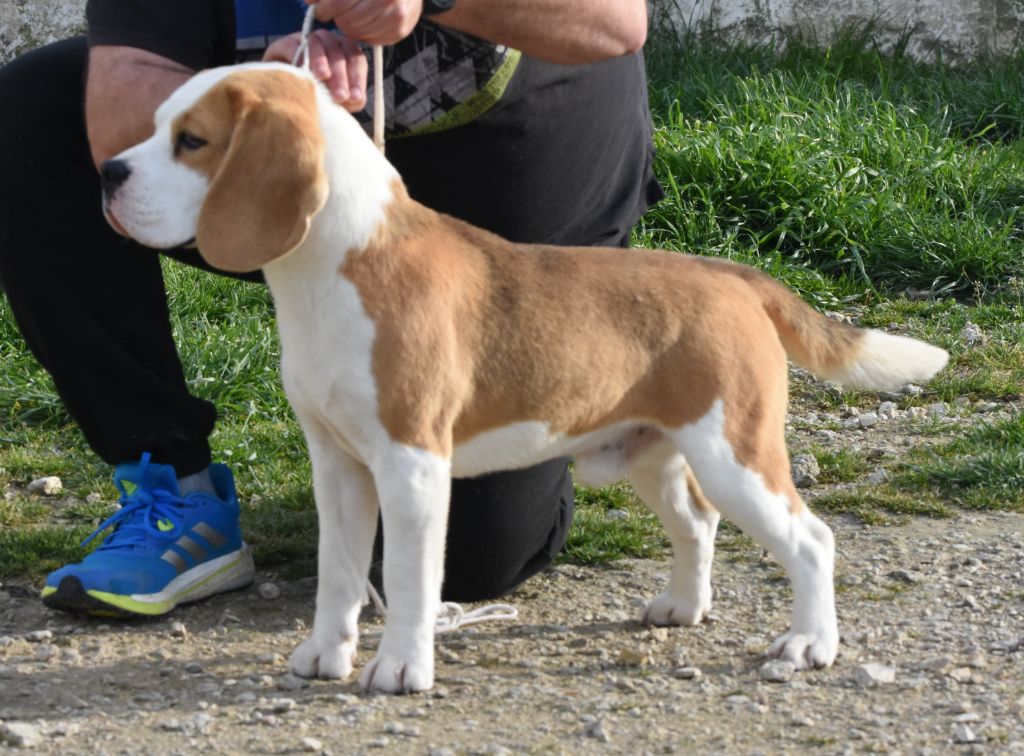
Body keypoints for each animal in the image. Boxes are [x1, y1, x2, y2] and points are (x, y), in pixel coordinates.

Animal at [99, 63, 946, 688]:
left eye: (193, 140)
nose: (107, 170)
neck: (336, 265)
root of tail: (733, 276)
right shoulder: (338, 463)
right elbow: (338, 574)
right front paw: (325, 655)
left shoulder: (411, 464)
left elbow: (410, 578)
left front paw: (400, 667)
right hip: (655, 453)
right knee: (698, 524)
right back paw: (683, 606)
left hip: (735, 453)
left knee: (811, 540)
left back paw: (810, 644)